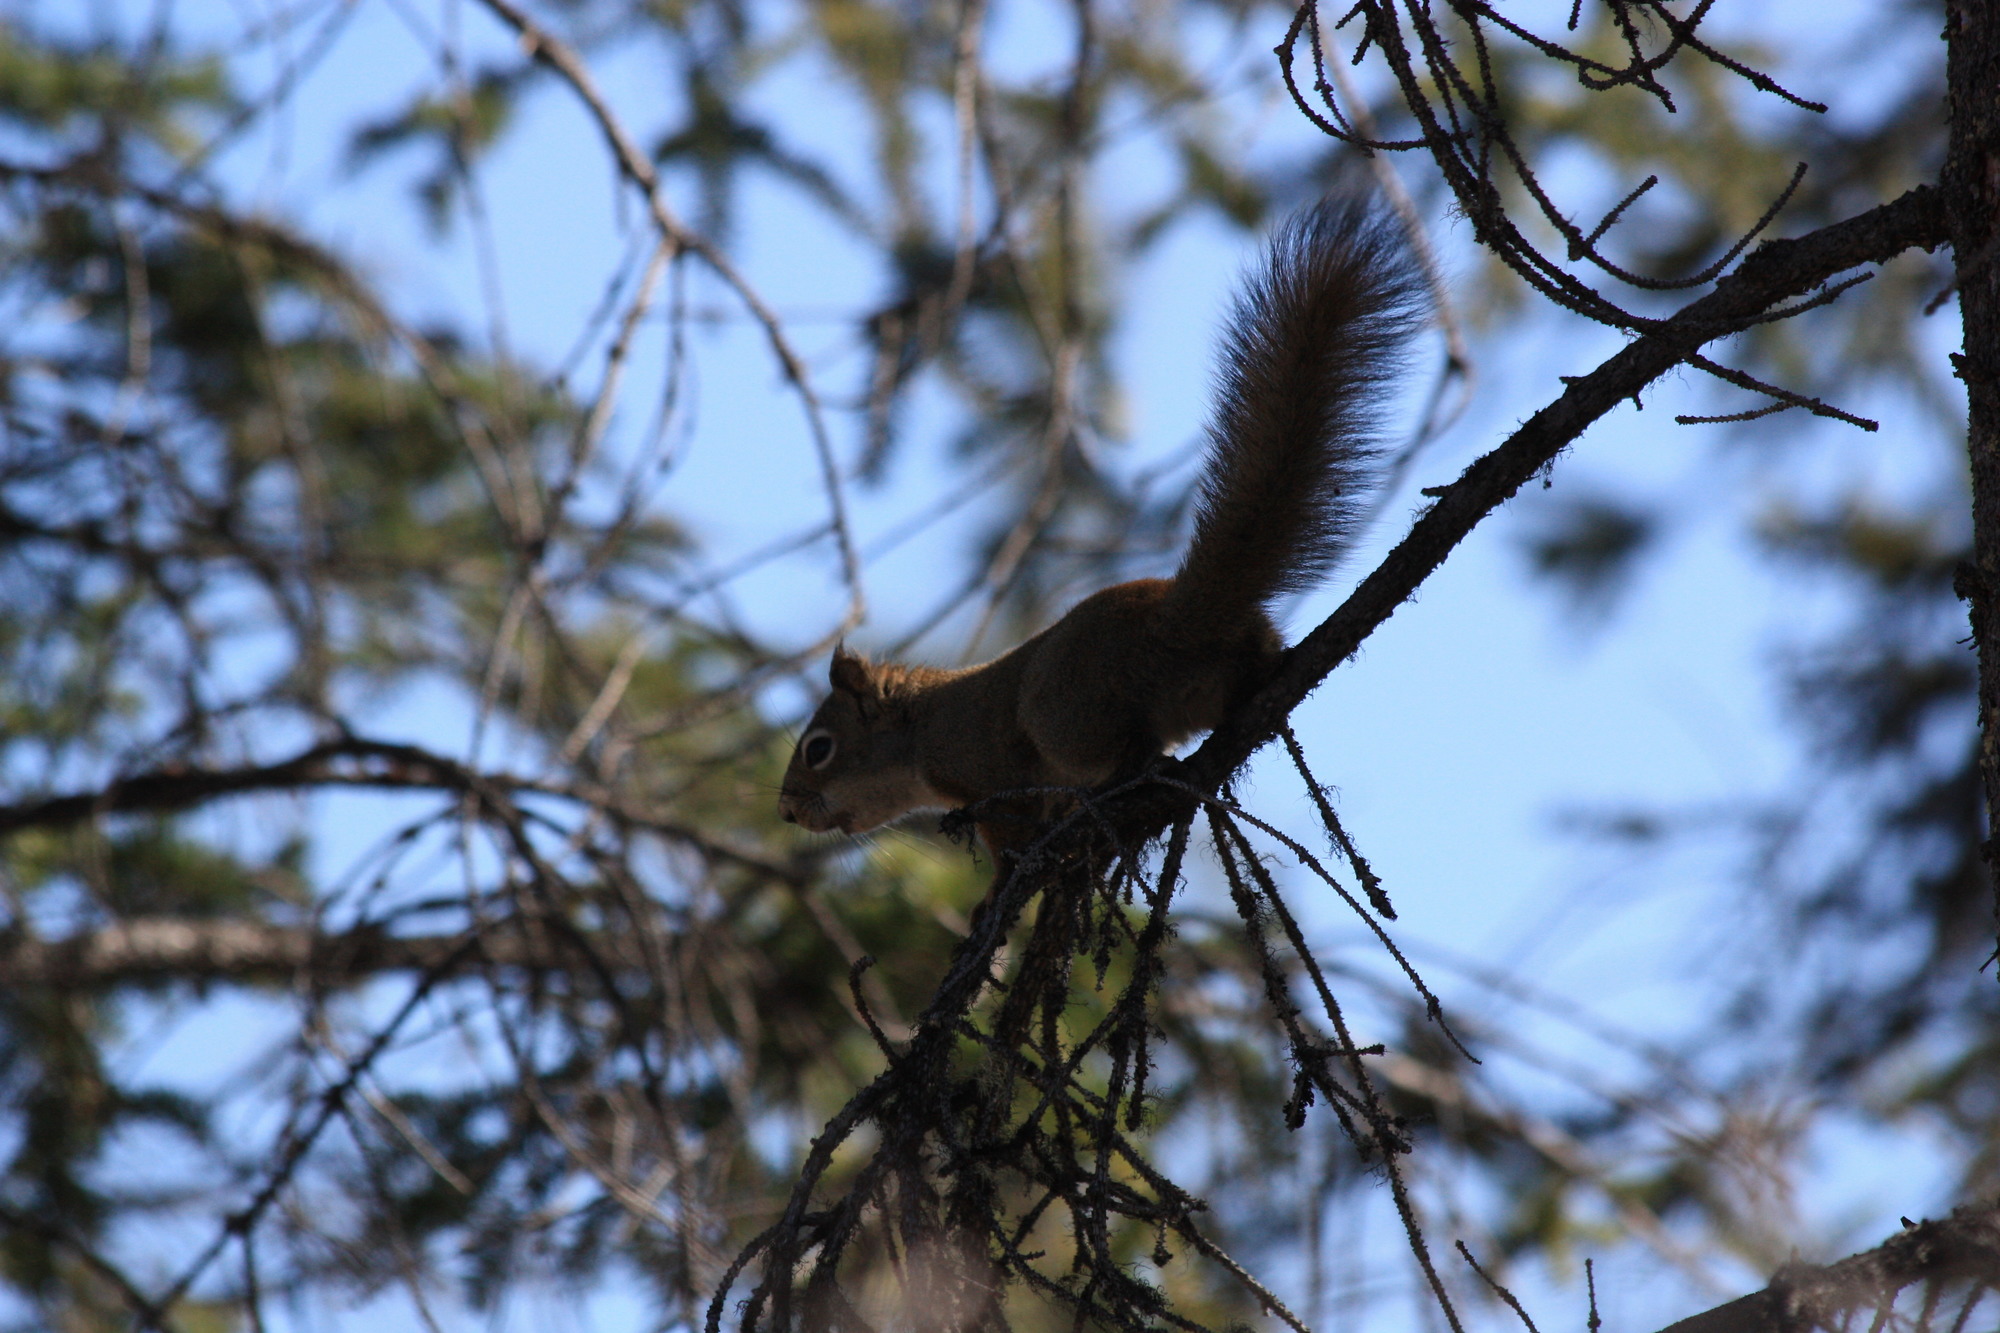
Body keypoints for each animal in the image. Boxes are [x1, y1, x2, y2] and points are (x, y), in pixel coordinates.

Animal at [778, 199, 1422, 858]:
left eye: (819, 749)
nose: (787, 811)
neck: (921, 727)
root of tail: (1180, 618)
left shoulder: (986, 776)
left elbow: (1009, 838)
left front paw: (1005, 874)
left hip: (1066, 716)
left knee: (1131, 748)